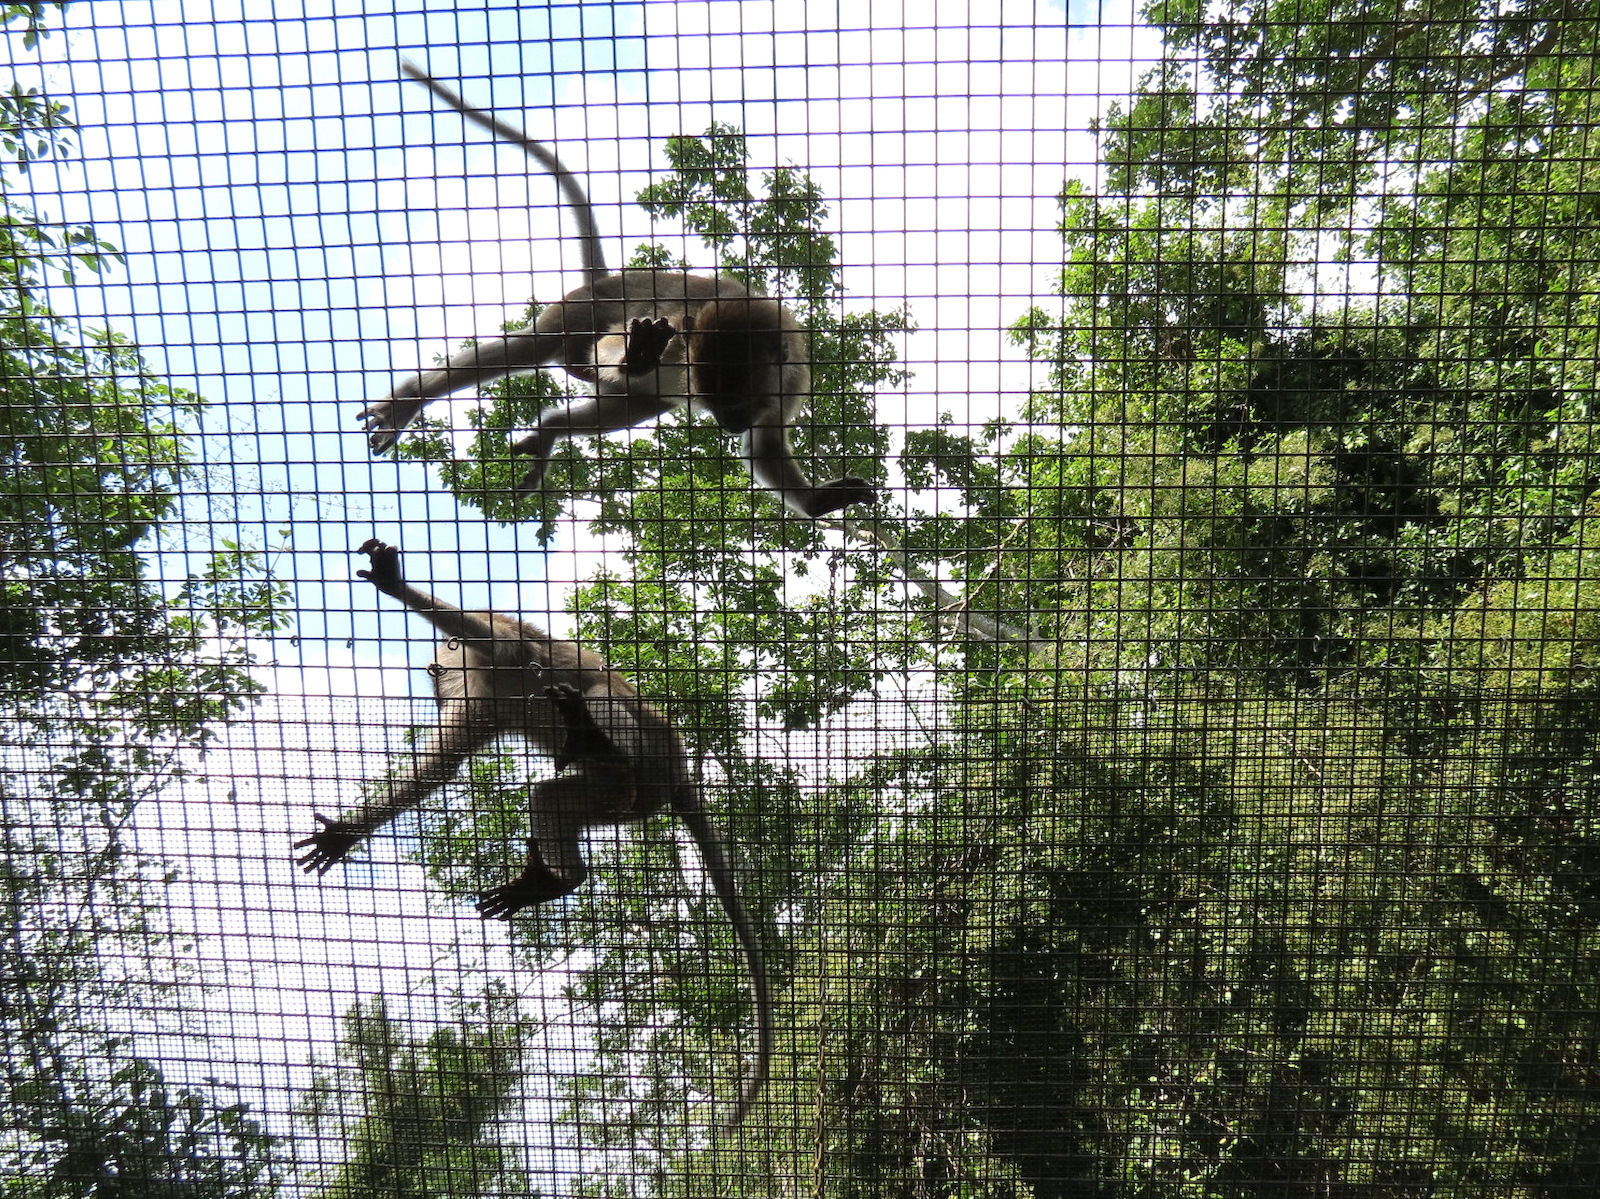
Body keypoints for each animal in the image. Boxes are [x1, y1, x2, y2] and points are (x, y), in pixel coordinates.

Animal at [295, 538, 772, 1128]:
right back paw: (560, 876)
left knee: (602, 696)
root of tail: (677, 774)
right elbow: (440, 767)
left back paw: (592, 739)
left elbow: (486, 634)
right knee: (555, 797)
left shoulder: (498, 649)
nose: (434, 681)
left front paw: (394, 583)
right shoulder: (481, 704)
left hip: (652, 750)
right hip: (631, 800)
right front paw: (344, 833)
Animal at [357, 63, 876, 520]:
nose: (728, 426)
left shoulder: (790, 383)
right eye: (717, 406)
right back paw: (410, 401)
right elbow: (615, 345)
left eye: (734, 405)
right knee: (539, 347)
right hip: (576, 312)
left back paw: (552, 428)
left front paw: (815, 501)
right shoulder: (680, 342)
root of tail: (604, 281)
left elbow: (763, 447)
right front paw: (636, 352)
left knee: (638, 402)